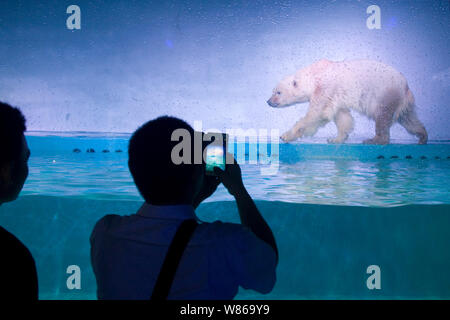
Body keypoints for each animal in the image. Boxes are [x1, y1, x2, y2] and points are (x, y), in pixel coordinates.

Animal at [268, 59, 428, 144]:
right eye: (273, 91)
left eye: (278, 92)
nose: (268, 101)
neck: (314, 75)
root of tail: (406, 87)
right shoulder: (335, 97)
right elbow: (342, 117)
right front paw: (336, 139)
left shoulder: (325, 89)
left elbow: (316, 115)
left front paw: (285, 135)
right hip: (400, 101)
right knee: (408, 119)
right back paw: (423, 136)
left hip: (385, 94)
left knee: (382, 117)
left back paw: (373, 140)